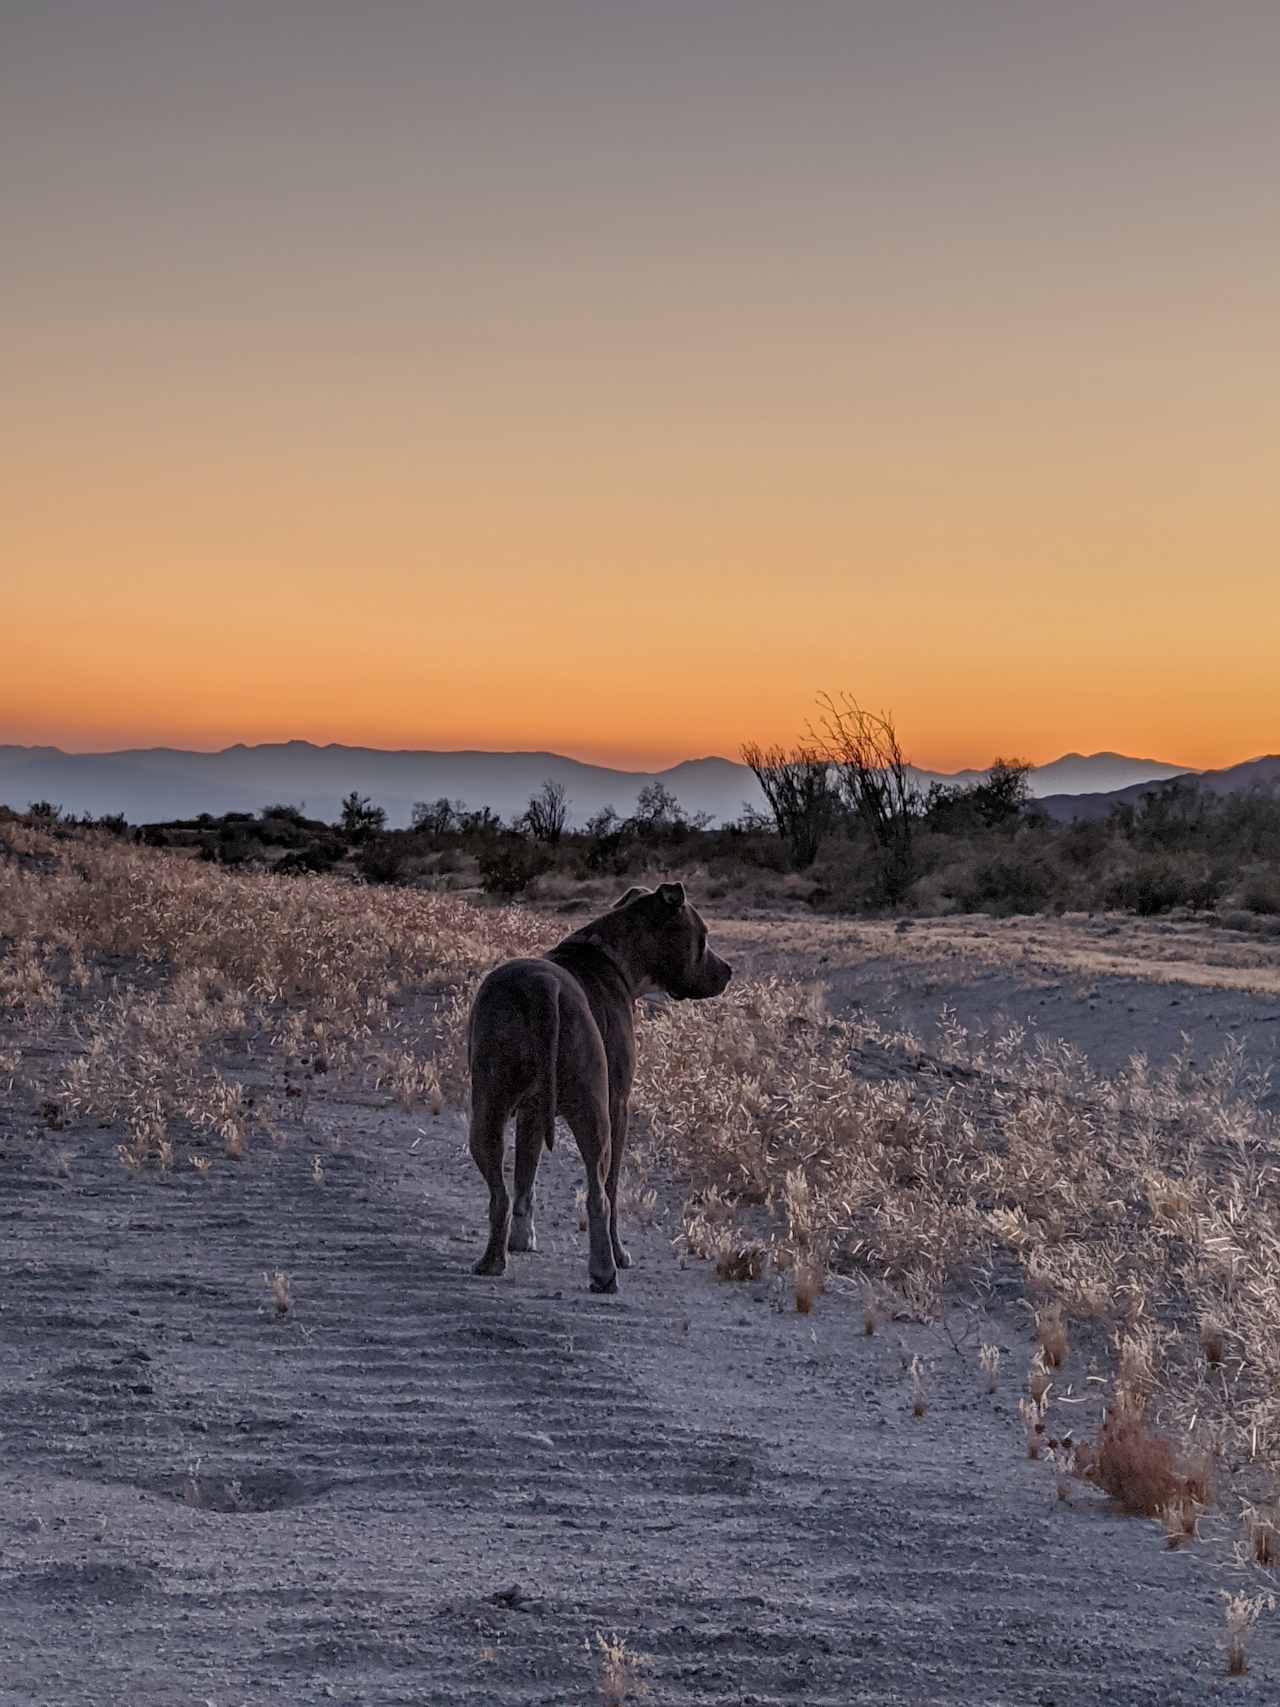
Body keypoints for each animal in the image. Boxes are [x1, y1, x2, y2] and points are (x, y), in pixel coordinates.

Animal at [467, 887, 730, 1283]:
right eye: (703, 936)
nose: (728, 970)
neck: (612, 952)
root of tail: (543, 989)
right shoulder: (617, 1105)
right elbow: (613, 1189)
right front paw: (620, 1253)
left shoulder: (532, 1112)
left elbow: (525, 1174)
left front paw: (522, 1239)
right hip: (595, 1115)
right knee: (599, 1196)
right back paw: (605, 1270)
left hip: (486, 1107)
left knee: (499, 1193)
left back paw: (493, 1260)